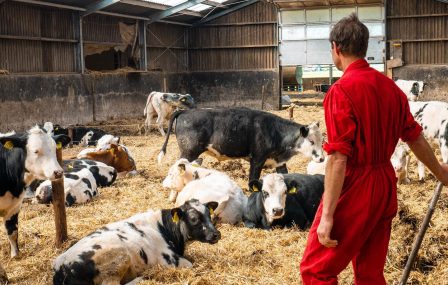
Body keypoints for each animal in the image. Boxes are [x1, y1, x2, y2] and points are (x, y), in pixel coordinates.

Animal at [159, 107, 324, 179]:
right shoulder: (257, 160)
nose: (322, 158)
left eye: (322, 140)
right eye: (311, 141)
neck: (275, 131)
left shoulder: (280, 163)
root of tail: (185, 111)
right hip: (188, 152)